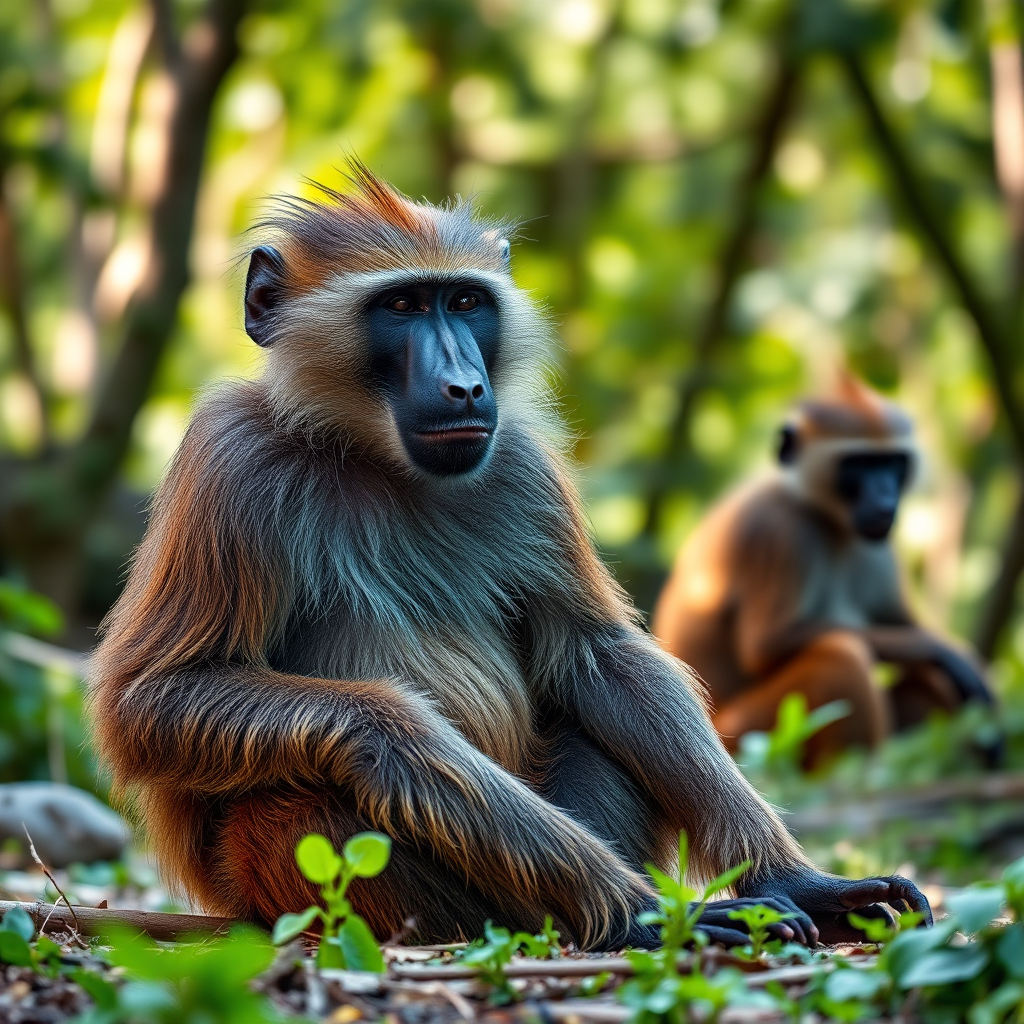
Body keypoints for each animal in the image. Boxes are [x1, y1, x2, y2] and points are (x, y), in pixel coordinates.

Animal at [90, 164, 930, 952]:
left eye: (464, 302)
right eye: (402, 308)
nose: (463, 384)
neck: (377, 458)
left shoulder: (523, 465)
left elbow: (600, 658)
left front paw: (795, 880)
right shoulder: (231, 456)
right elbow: (151, 701)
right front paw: (644, 912)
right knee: (297, 799)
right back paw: (594, 915)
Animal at [653, 373, 997, 768]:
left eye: (893, 463)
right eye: (859, 464)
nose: (885, 497)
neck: (831, 522)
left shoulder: (878, 544)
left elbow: (904, 626)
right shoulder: (781, 532)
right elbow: (766, 646)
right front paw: (945, 652)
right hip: (754, 736)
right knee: (843, 654)